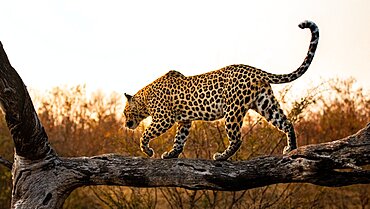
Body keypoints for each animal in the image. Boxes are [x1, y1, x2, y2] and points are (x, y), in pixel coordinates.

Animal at [123, 20, 318, 160]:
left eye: (125, 113)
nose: (125, 124)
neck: (145, 98)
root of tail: (255, 70)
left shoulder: (164, 118)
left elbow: (146, 134)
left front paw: (147, 150)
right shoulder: (184, 121)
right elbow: (179, 140)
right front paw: (171, 154)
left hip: (232, 110)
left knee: (237, 138)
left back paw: (221, 157)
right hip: (265, 104)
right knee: (287, 122)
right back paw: (291, 149)